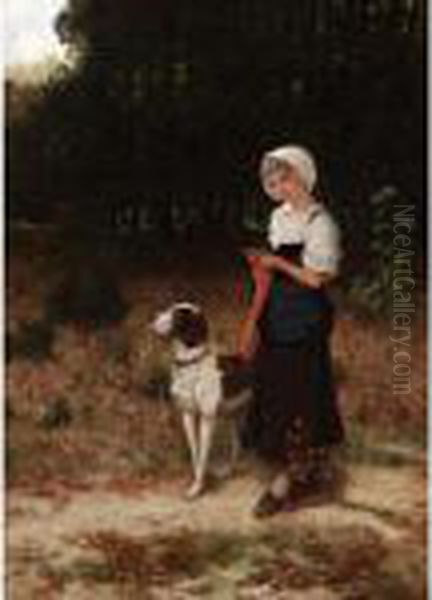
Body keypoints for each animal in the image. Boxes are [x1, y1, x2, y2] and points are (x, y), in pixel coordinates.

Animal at [151, 302, 253, 500]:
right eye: (169, 308)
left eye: (178, 315)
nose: (155, 316)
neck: (191, 364)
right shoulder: (188, 416)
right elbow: (195, 453)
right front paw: (197, 483)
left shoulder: (207, 419)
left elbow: (203, 457)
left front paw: (197, 488)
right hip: (235, 415)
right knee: (237, 444)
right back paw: (229, 471)